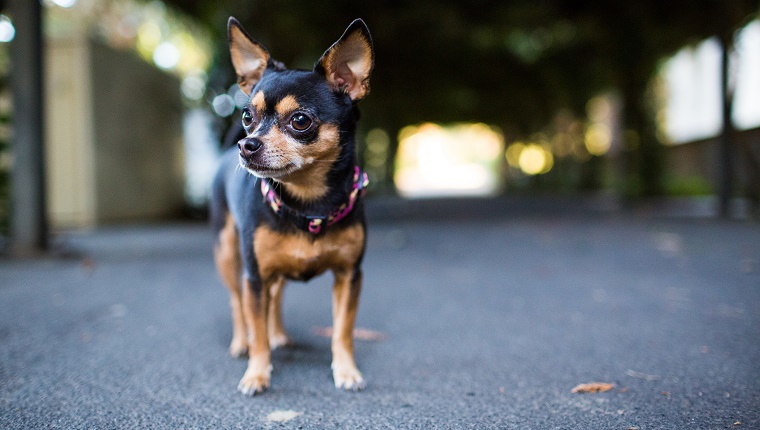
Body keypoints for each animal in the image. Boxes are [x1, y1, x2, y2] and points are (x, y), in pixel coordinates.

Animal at [209, 16, 376, 394]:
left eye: (300, 121)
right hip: (228, 255)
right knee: (237, 302)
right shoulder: (255, 276)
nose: (247, 144)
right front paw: (257, 373)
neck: (308, 204)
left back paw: (279, 334)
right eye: (247, 116)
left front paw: (346, 371)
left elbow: (343, 330)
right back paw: (241, 342)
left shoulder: (349, 276)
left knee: (277, 296)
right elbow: (255, 325)